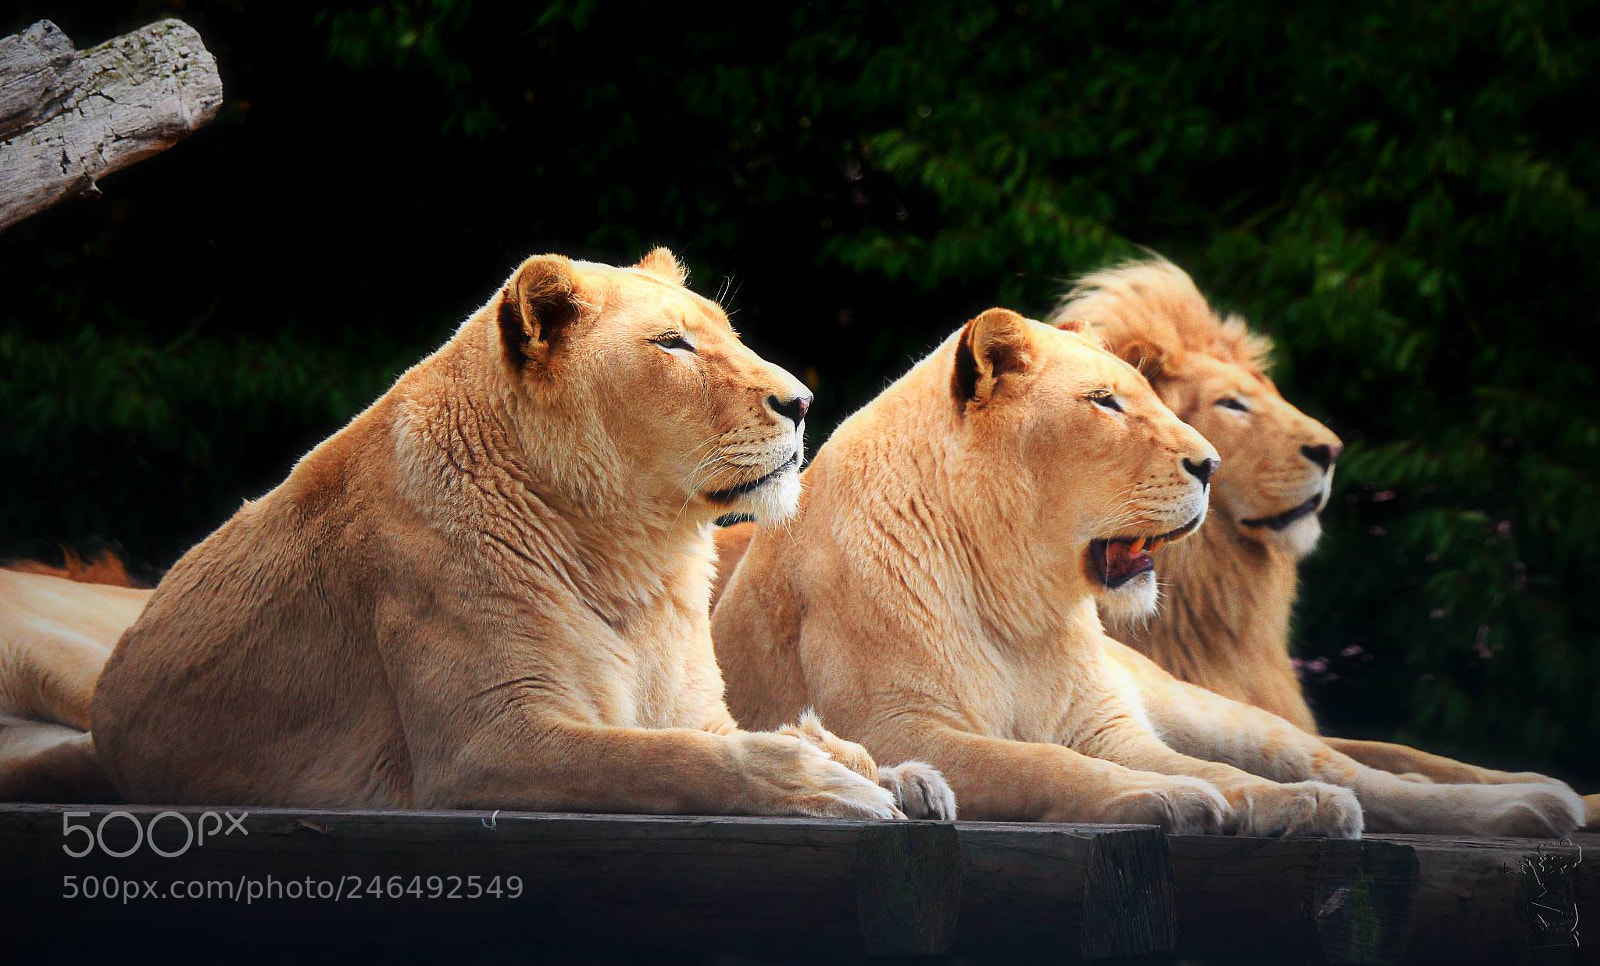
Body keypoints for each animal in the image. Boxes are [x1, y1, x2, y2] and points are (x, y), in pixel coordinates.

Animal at [85, 249, 949, 818]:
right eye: (672, 343)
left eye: (727, 334)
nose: (803, 402)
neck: (638, 556)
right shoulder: (484, 744)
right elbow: (663, 760)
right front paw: (825, 782)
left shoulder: (691, 704)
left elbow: (704, 736)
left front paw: (899, 772)